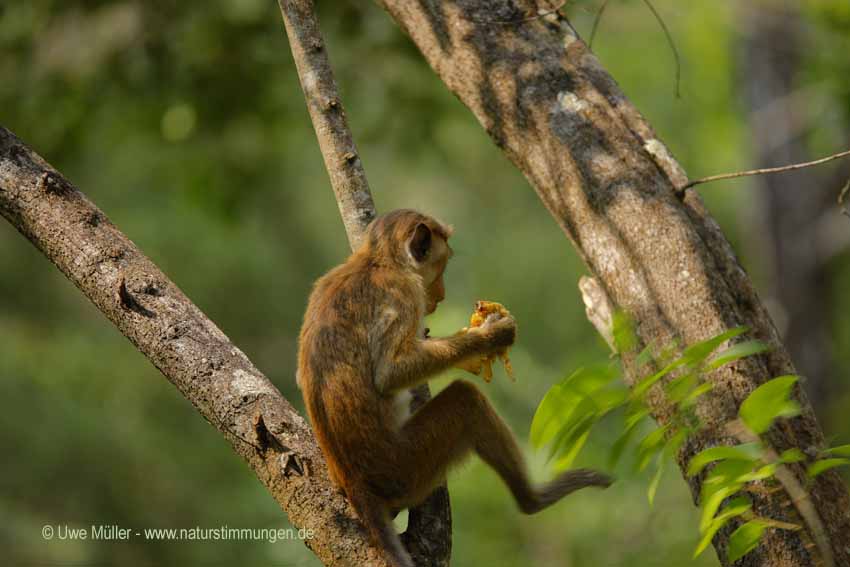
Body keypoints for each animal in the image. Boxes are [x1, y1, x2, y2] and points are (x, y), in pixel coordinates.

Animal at [298, 210, 608, 567]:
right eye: (441, 265)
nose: (440, 295)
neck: (376, 261)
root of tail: (356, 482)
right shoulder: (402, 293)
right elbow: (389, 374)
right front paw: (488, 337)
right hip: (405, 465)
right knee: (466, 401)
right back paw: (532, 500)